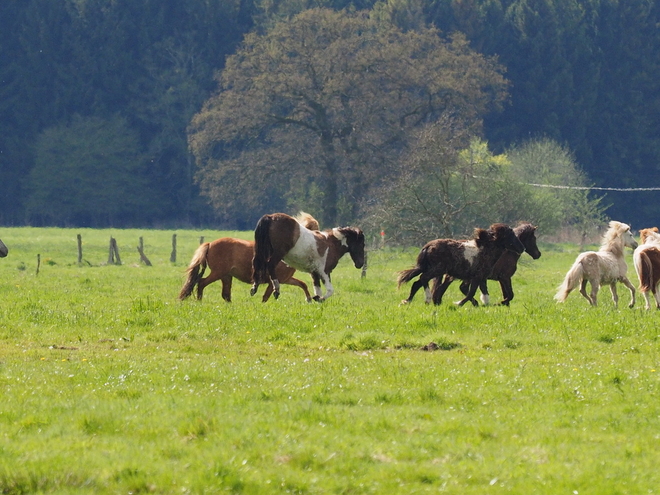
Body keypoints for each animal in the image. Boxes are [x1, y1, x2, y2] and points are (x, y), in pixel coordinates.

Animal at [178, 212, 318, 302]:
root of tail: (210, 244)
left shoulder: (286, 279)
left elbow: (302, 284)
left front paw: (309, 299)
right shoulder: (275, 281)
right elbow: (266, 297)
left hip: (226, 276)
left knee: (226, 295)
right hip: (218, 273)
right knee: (202, 283)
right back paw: (199, 300)